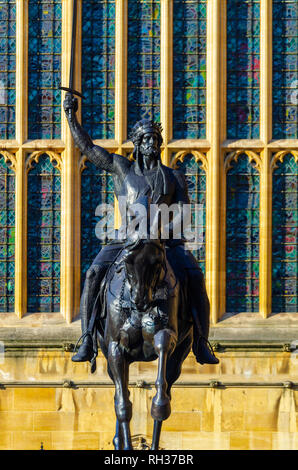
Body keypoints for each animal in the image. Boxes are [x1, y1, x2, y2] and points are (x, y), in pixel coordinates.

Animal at [95, 239, 193, 452]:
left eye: (157, 261)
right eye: (128, 260)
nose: (140, 301)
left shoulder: (167, 335)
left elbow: (163, 349)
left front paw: (159, 406)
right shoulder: (115, 348)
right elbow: (123, 404)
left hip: (180, 356)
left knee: (167, 386)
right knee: (121, 393)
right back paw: (119, 441)